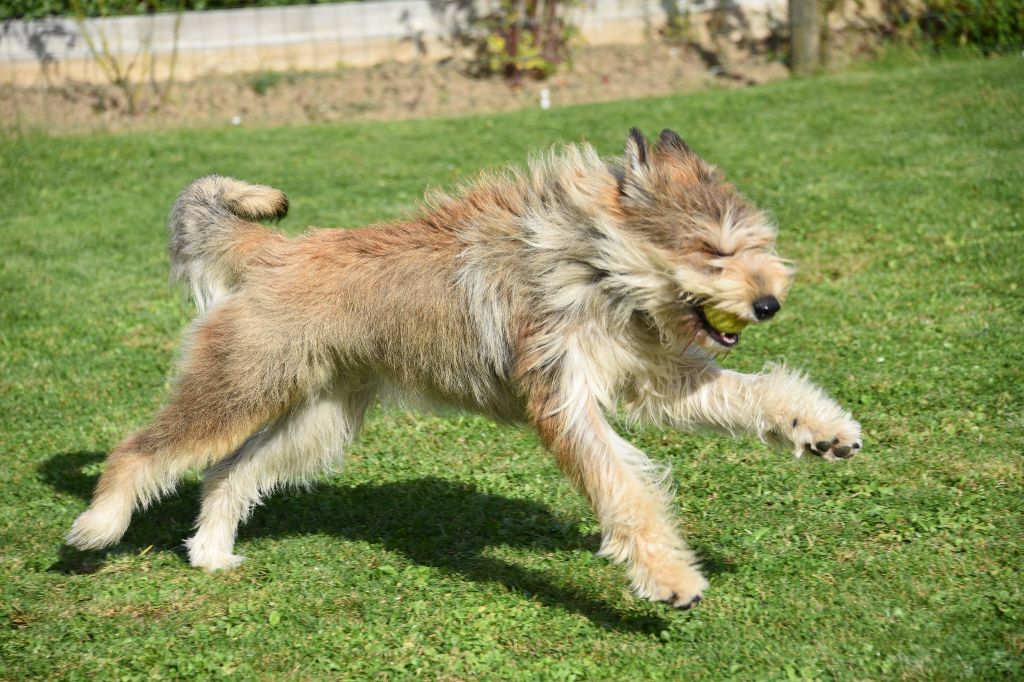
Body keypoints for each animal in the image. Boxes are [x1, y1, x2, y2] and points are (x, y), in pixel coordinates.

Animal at [67, 128, 861, 609]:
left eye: (758, 245)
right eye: (712, 251)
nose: (768, 303)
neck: (592, 266)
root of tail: (274, 251)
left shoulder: (655, 381)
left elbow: (756, 393)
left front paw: (821, 429)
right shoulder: (564, 403)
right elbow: (624, 492)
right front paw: (669, 578)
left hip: (317, 421)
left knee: (228, 474)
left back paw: (209, 552)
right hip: (237, 388)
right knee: (141, 450)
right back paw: (99, 526)